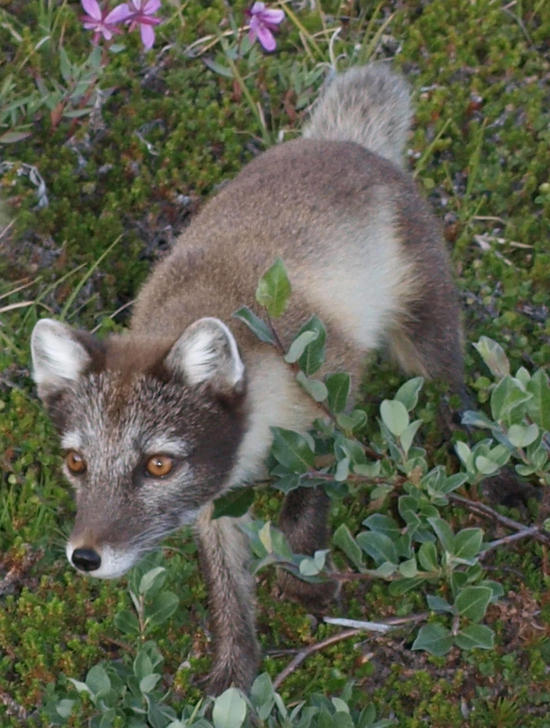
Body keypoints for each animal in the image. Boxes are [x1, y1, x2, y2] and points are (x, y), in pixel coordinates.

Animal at [30, 64, 463, 694]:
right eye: (75, 463)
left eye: (157, 465)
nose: (84, 558)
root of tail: (340, 142)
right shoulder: (214, 499)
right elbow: (226, 591)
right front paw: (233, 677)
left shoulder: (332, 398)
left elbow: (305, 511)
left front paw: (305, 585)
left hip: (423, 335)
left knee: (460, 392)